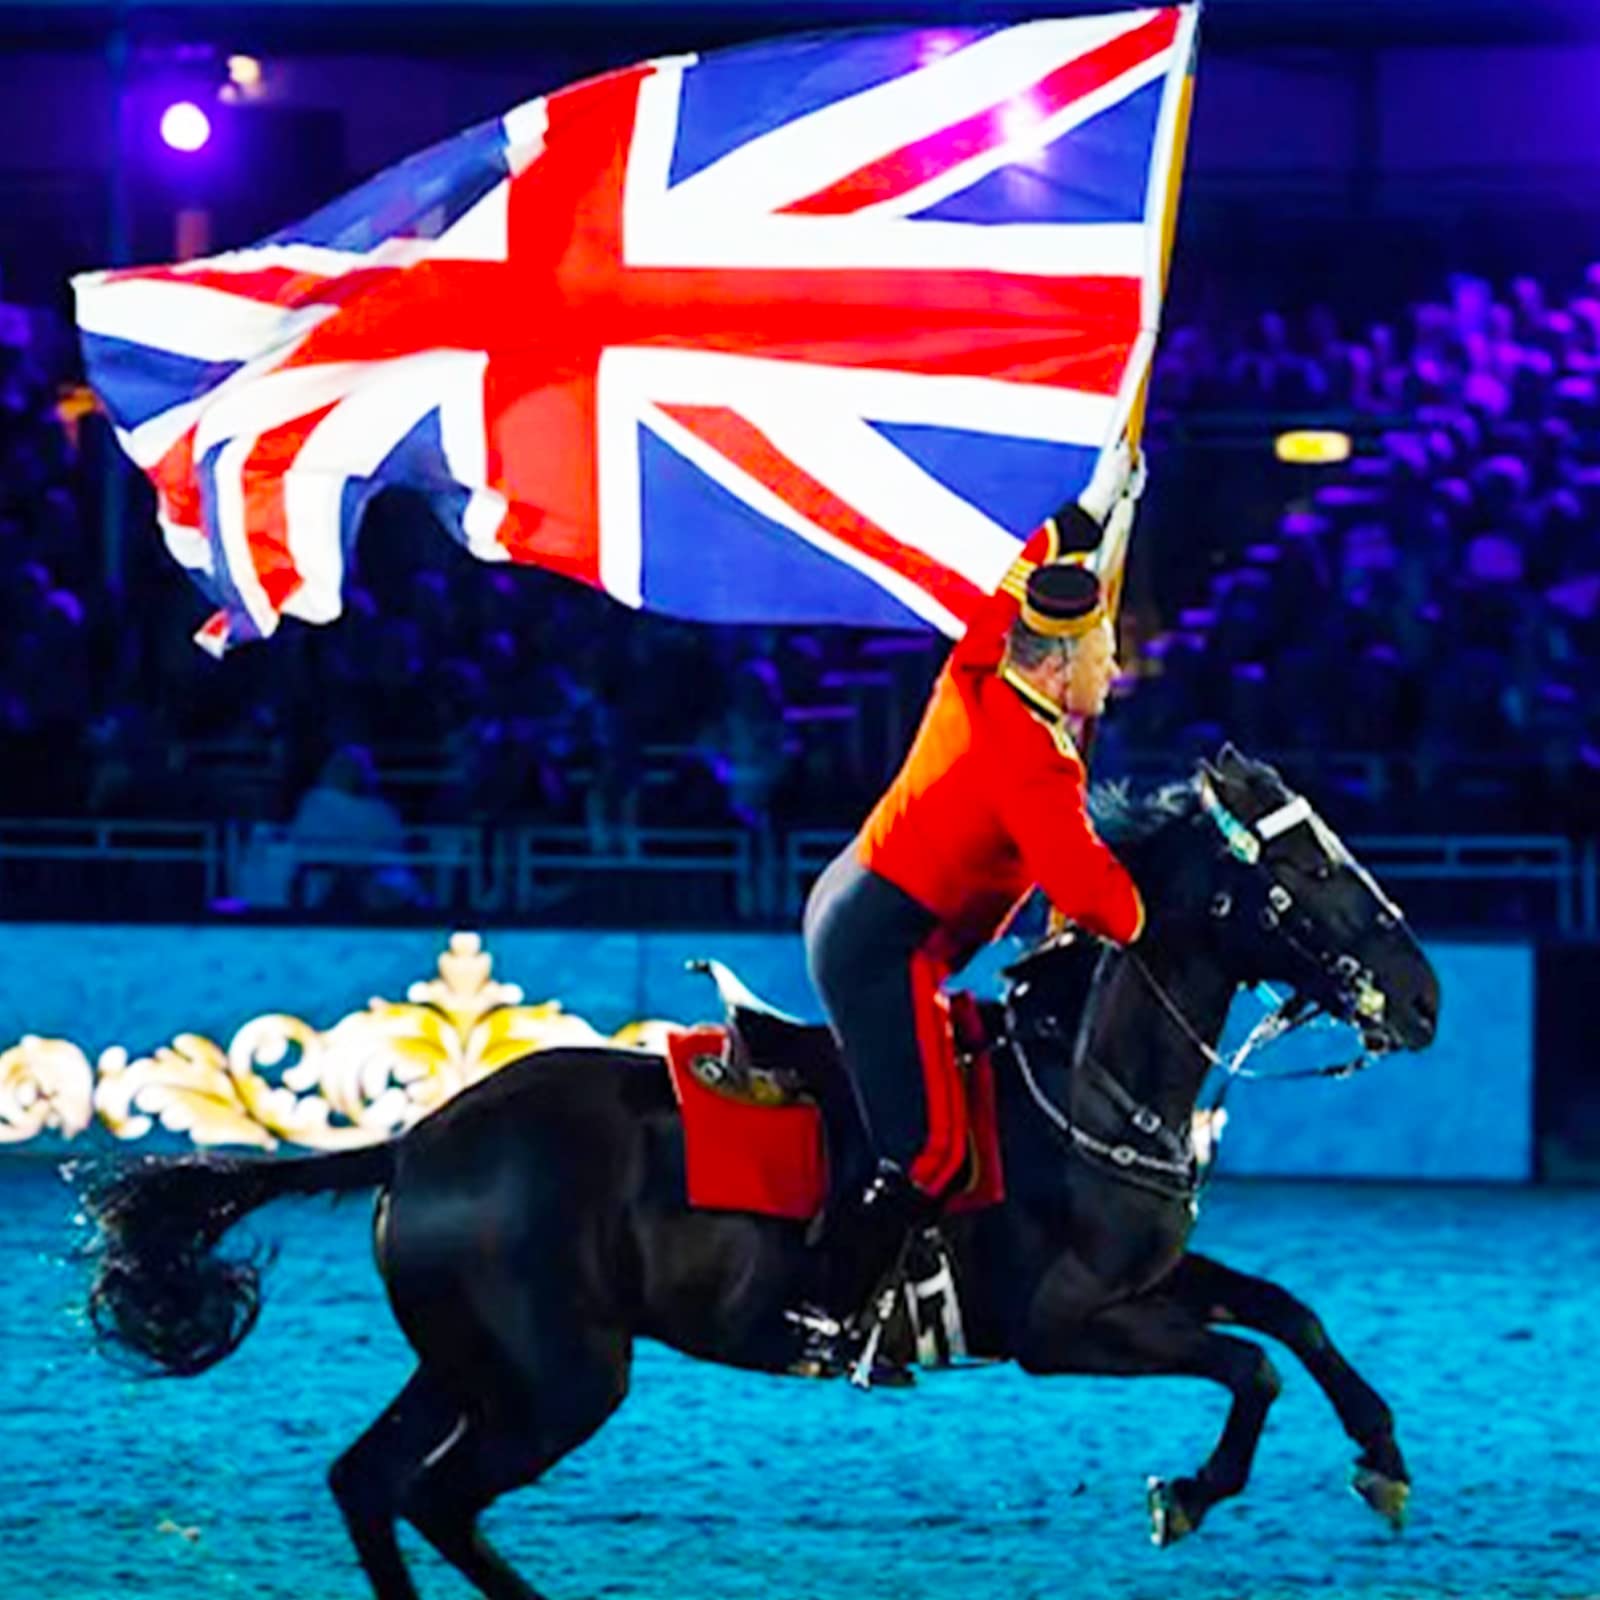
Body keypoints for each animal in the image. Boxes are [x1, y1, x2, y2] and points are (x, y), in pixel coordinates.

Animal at [81, 748, 1440, 1600]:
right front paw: (1191, 1493)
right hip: (559, 1379)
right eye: (1307, 872)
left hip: (473, 1361)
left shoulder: (1149, 1279)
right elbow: (1249, 1366)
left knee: (370, 1484)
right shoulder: (1064, 1329)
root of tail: (417, 1139)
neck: (1085, 1080)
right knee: (435, 1497)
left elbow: (1290, 1317)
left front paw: (1381, 1457)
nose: (1423, 999)